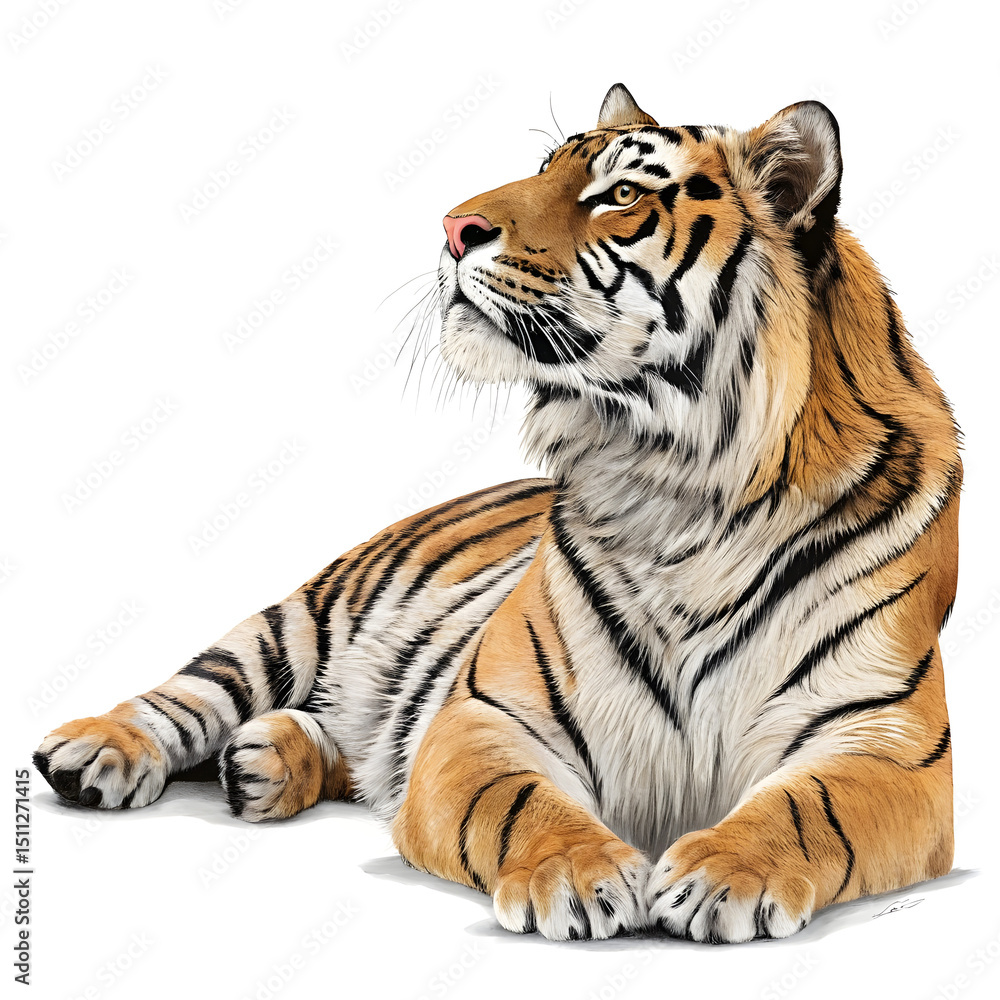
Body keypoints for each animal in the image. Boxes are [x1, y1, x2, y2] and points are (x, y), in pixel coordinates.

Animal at [34, 83, 961, 944]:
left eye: (621, 194)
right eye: (545, 169)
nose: (452, 229)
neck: (677, 482)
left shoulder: (886, 741)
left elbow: (808, 806)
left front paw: (724, 876)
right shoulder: (483, 716)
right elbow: (519, 801)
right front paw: (580, 876)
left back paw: (264, 761)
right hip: (294, 623)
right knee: (184, 696)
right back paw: (99, 753)